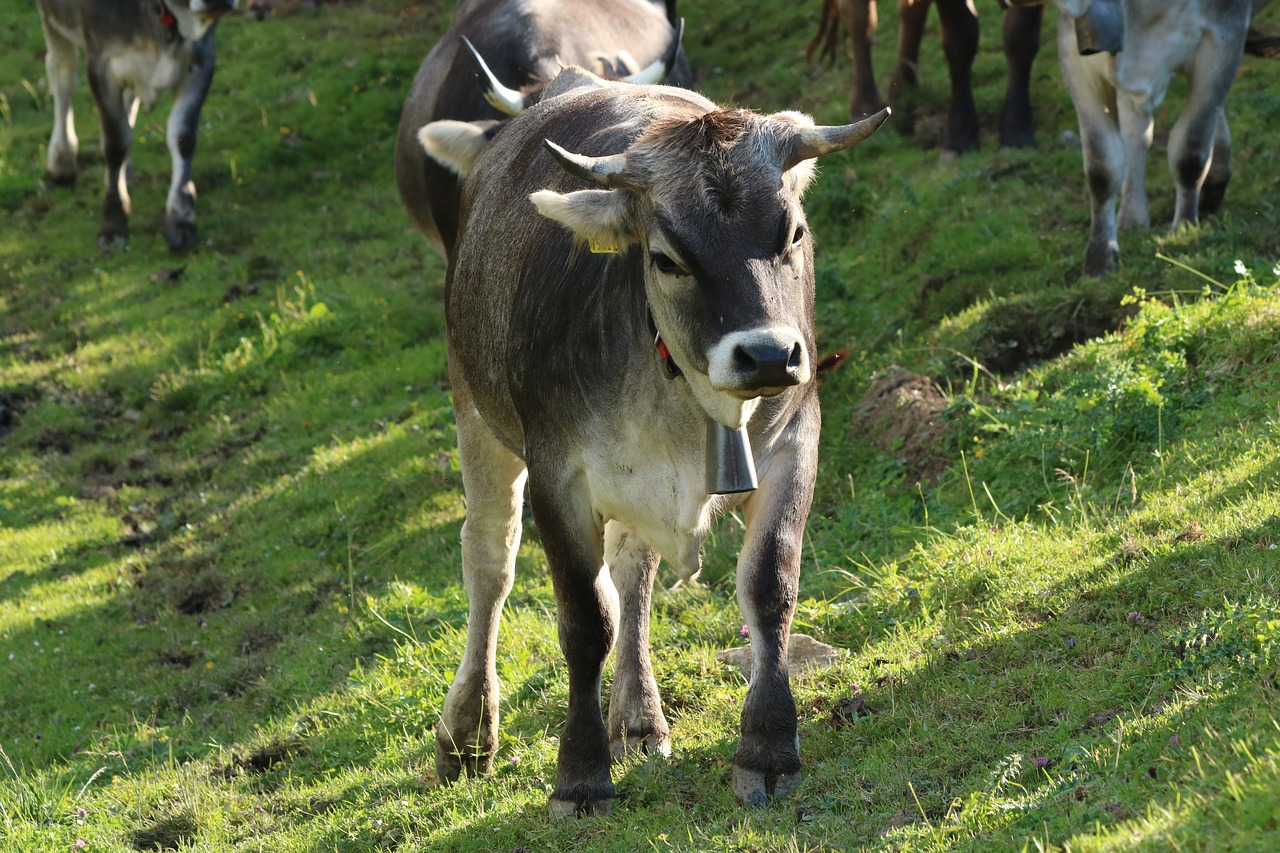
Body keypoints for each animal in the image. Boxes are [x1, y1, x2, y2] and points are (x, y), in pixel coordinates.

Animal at [35, 0, 239, 251]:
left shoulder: (202, 59)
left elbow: (183, 136)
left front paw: (181, 218)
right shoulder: (102, 63)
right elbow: (115, 142)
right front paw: (113, 223)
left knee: (128, 105)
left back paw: (125, 172)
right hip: (53, 22)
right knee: (62, 76)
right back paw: (62, 162)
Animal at [419, 64, 890, 809]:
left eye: (793, 232)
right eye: (668, 259)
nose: (766, 355)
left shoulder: (795, 445)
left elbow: (769, 586)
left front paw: (768, 746)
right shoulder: (559, 476)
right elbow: (585, 622)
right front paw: (580, 773)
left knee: (631, 572)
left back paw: (638, 717)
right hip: (476, 412)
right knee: (490, 561)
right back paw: (467, 732)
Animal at [808, 0, 1049, 154]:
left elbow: (1020, 38)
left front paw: (1017, 130)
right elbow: (961, 37)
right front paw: (959, 135)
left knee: (912, 9)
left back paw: (903, 91)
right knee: (859, 16)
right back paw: (865, 103)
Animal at [1059, 0, 1269, 274]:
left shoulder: (1224, 37)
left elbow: (1190, 151)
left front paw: (1185, 232)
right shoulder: (1076, 54)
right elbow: (1102, 167)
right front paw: (1100, 257)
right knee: (1136, 133)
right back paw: (1133, 217)